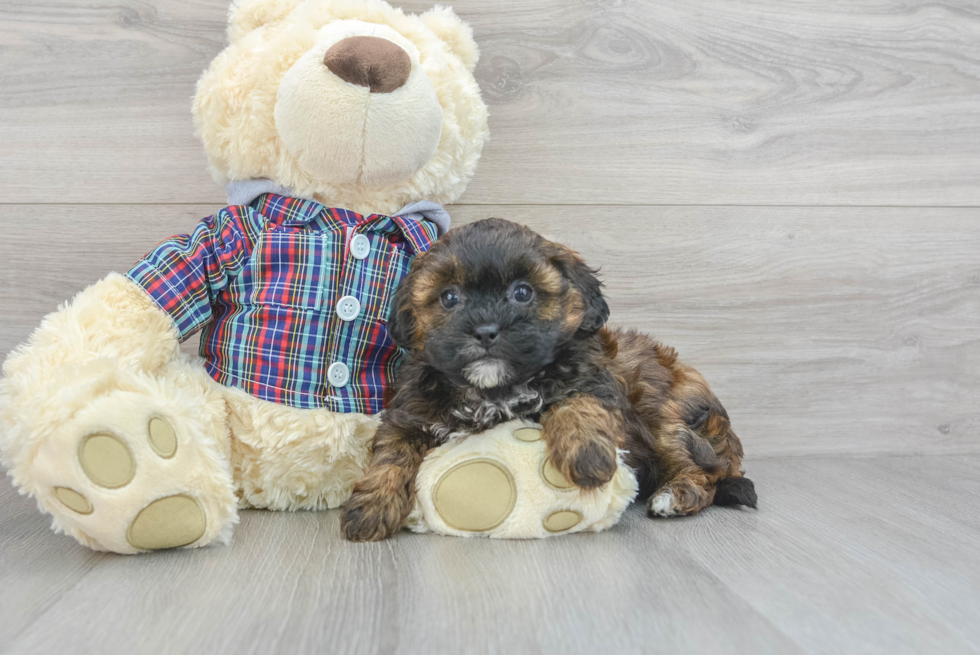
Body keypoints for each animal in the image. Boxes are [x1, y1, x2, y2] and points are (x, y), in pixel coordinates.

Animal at [340, 218, 760, 540]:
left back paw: (674, 496)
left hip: (667, 419)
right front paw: (371, 506)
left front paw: (587, 455)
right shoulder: (410, 412)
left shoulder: (596, 382)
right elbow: (391, 454)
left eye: (523, 292)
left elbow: (578, 403)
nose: (486, 331)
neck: (494, 390)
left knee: (704, 473)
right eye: (449, 298)